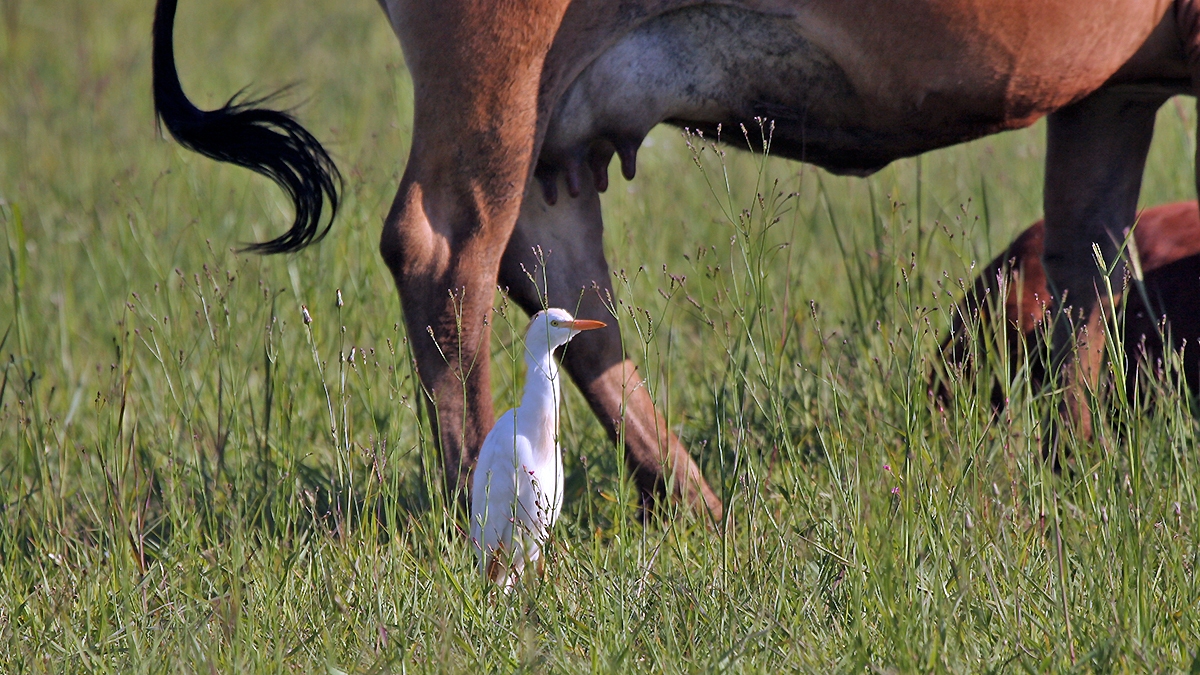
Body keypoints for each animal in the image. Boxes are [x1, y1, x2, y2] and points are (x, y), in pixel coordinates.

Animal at [153, 0, 1199, 519]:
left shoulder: (1113, 92)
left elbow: (1088, 261)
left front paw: (1076, 466)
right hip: (497, 65)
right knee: (447, 251)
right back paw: (477, 507)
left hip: (555, 115)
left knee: (557, 278)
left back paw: (698, 508)